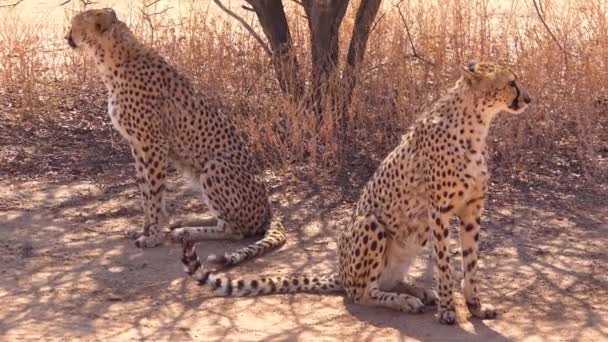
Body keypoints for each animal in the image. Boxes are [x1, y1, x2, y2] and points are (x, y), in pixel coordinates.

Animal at [65, 7, 286, 264]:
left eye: (74, 24)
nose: (67, 37)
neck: (114, 59)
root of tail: (268, 209)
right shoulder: (137, 146)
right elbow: (146, 192)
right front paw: (146, 229)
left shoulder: (153, 144)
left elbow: (153, 192)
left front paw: (152, 237)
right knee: (222, 218)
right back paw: (185, 221)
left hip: (214, 165)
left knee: (235, 230)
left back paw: (186, 231)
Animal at [179, 60, 532, 324]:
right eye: (512, 82)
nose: (528, 99)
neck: (476, 124)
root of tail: (339, 273)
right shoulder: (440, 212)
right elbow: (445, 266)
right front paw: (449, 310)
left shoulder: (472, 209)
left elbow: (471, 263)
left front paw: (475, 306)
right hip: (370, 223)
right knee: (361, 292)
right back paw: (405, 301)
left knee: (382, 280)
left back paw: (417, 291)